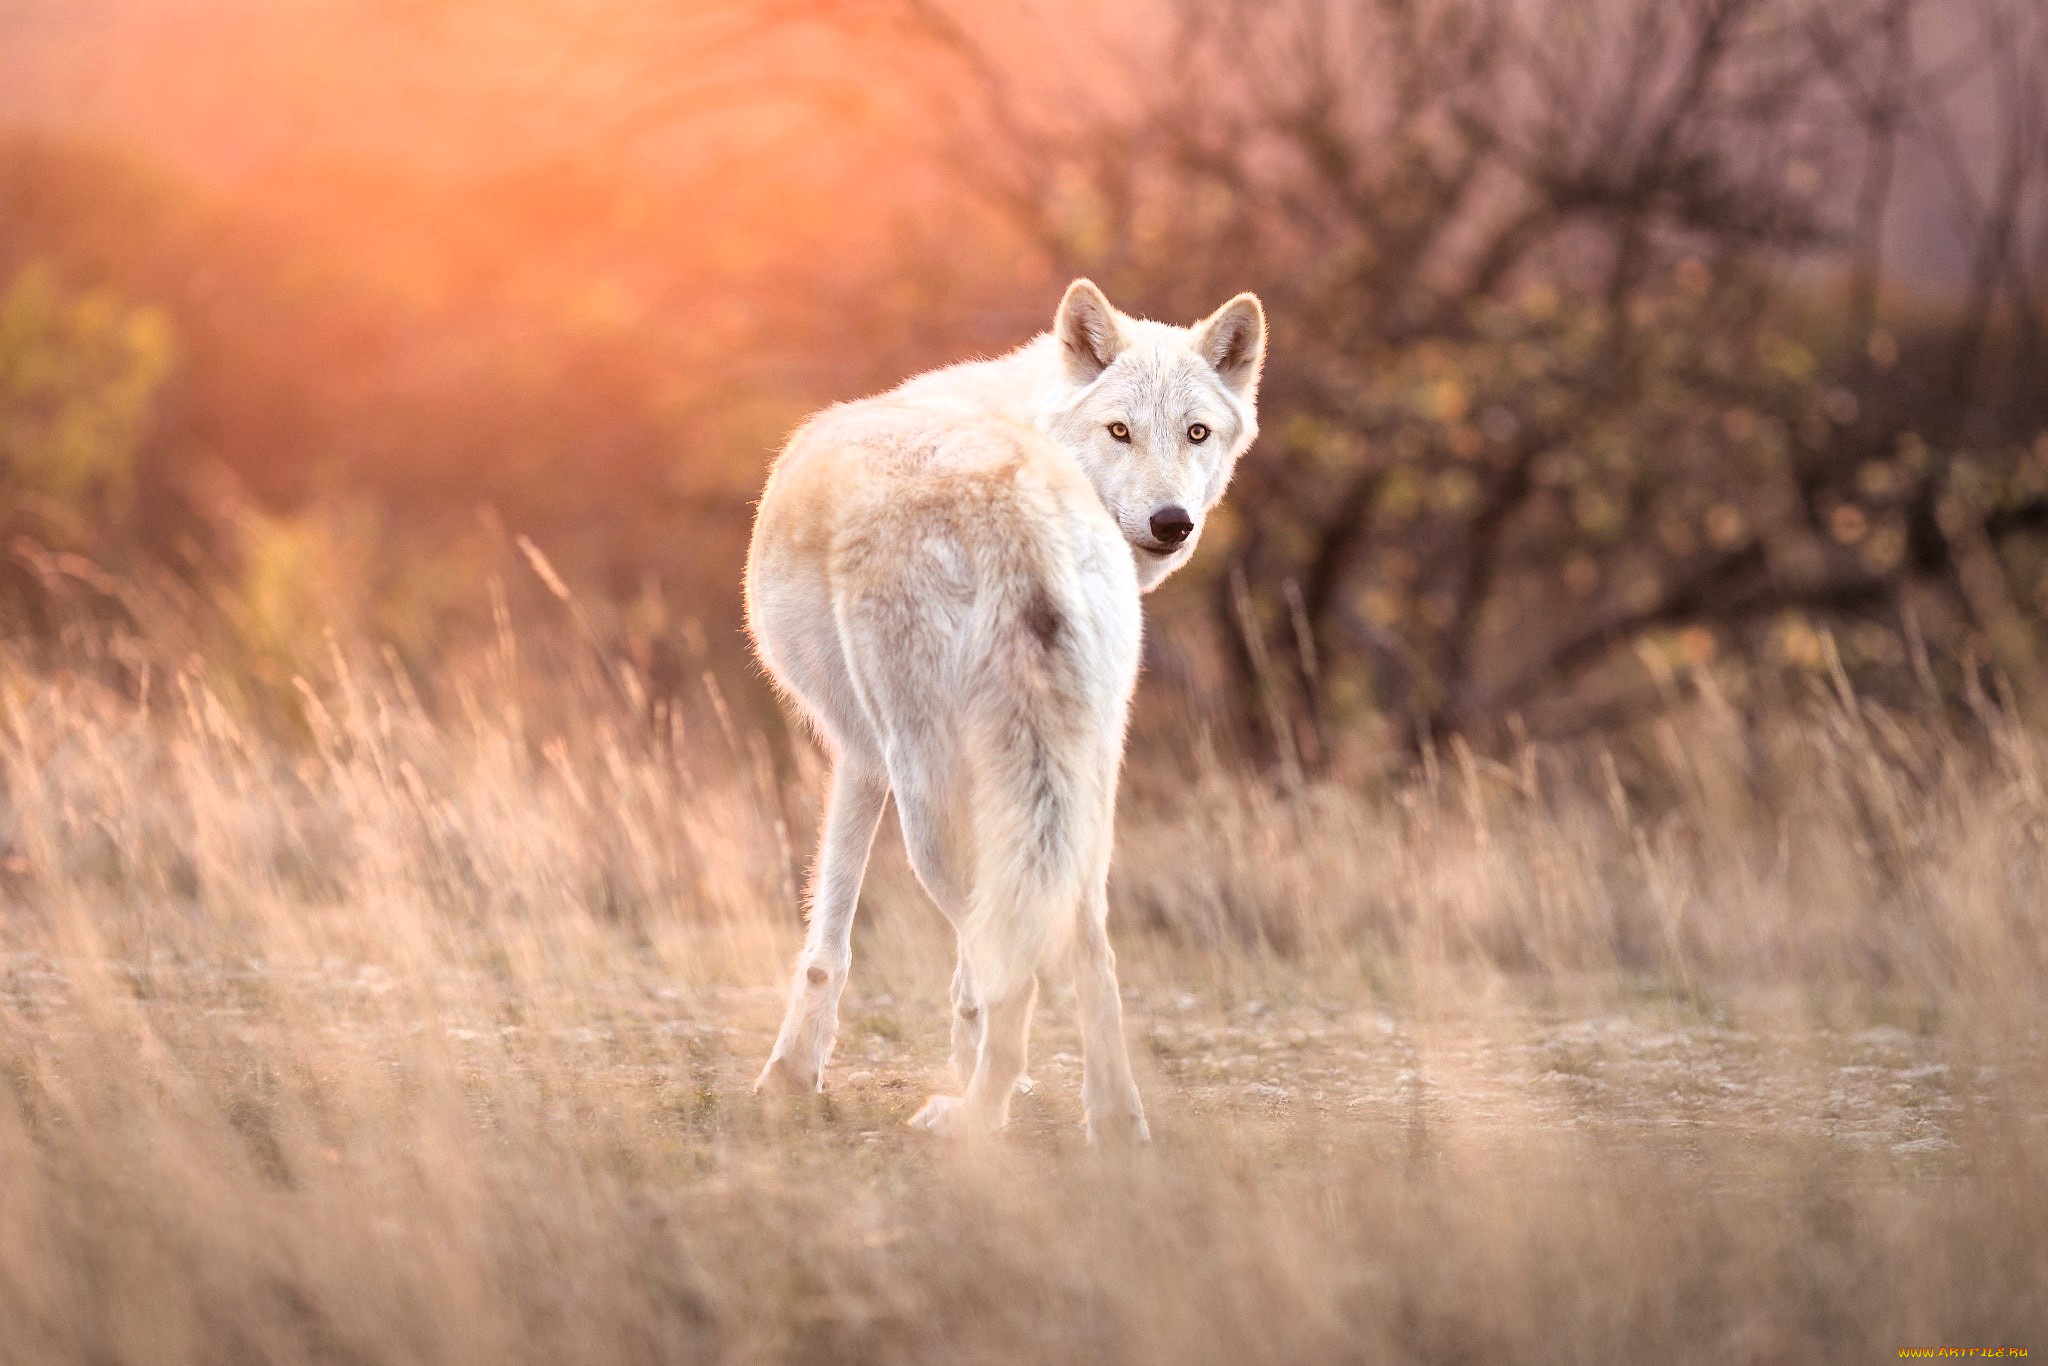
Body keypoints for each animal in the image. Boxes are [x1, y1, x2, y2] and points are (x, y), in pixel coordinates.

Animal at [753, 278, 1261, 1146]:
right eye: (1120, 430)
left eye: (1196, 432)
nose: (1172, 522)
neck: (1028, 414)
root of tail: (1011, 503)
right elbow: (964, 982)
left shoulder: (860, 755)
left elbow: (830, 937)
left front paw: (791, 1076)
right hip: (1083, 786)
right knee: (1090, 947)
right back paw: (1114, 1121)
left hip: (930, 798)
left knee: (1016, 956)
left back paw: (974, 1119)